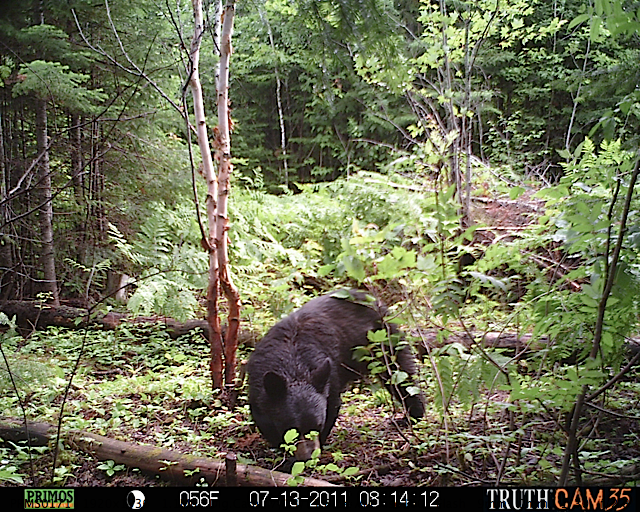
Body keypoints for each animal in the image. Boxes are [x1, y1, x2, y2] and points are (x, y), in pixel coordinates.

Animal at [246, 288, 424, 460]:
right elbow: (264, 419)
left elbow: (332, 405)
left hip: (385, 339)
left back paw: (412, 416)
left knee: (400, 375)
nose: (308, 457)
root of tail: (372, 298)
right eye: (293, 429)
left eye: (317, 426)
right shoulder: (258, 382)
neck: (293, 364)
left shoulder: (328, 376)